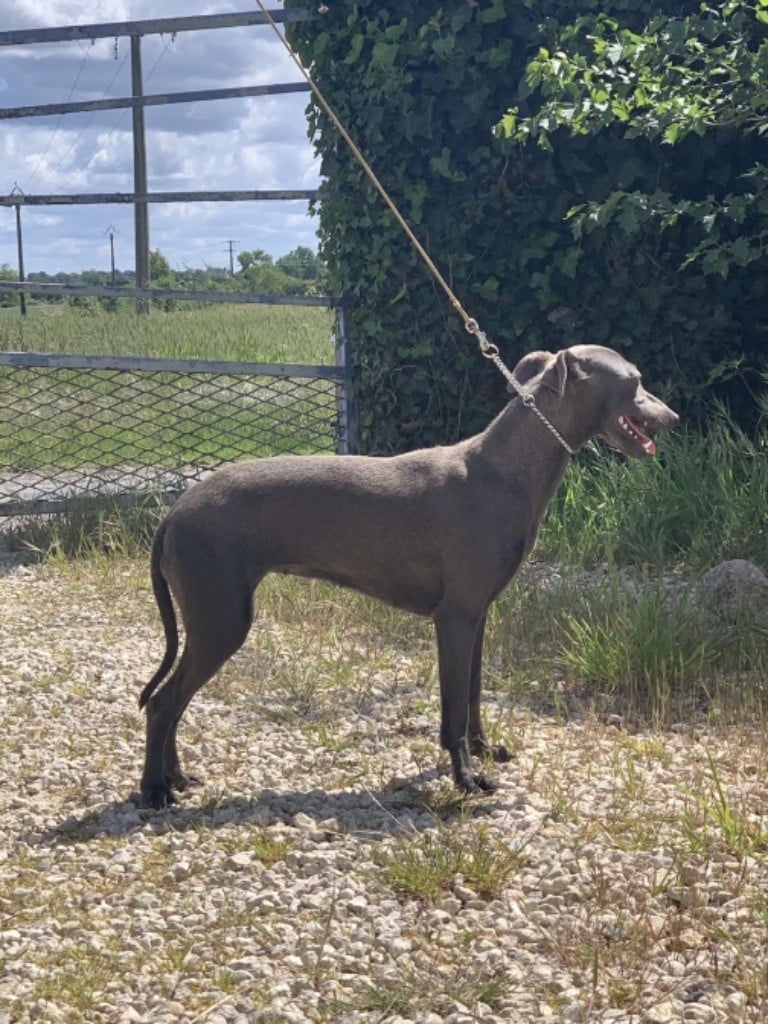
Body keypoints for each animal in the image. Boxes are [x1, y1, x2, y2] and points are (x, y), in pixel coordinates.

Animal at [138, 344, 679, 806]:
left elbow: (472, 695)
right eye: (635, 381)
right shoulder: (454, 617)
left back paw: (177, 776)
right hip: (221, 619)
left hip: (211, 620)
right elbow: (454, 707)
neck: (503, 470)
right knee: (163, 704)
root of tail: (176, 510)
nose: (673, 418)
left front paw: (484, 751)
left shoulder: (478, 615)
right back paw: (155, 790)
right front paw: (467, 778)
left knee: (173, 703)